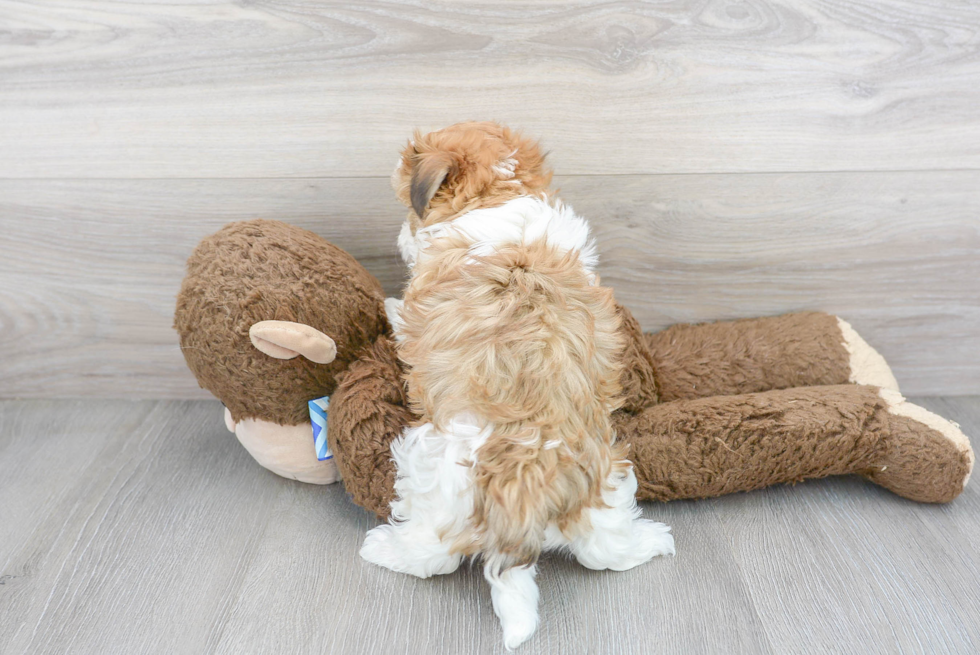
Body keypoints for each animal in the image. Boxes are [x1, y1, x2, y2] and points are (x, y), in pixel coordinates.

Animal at [360, 124, 672, 652]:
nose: (402, 234)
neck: (501, 195)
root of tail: (526, 472)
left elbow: (401, 316)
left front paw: (388, 304)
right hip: (606, 473)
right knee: (603, 546)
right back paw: (651, 542)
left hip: (432, 465)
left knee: (433, 550)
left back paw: (385, 550)